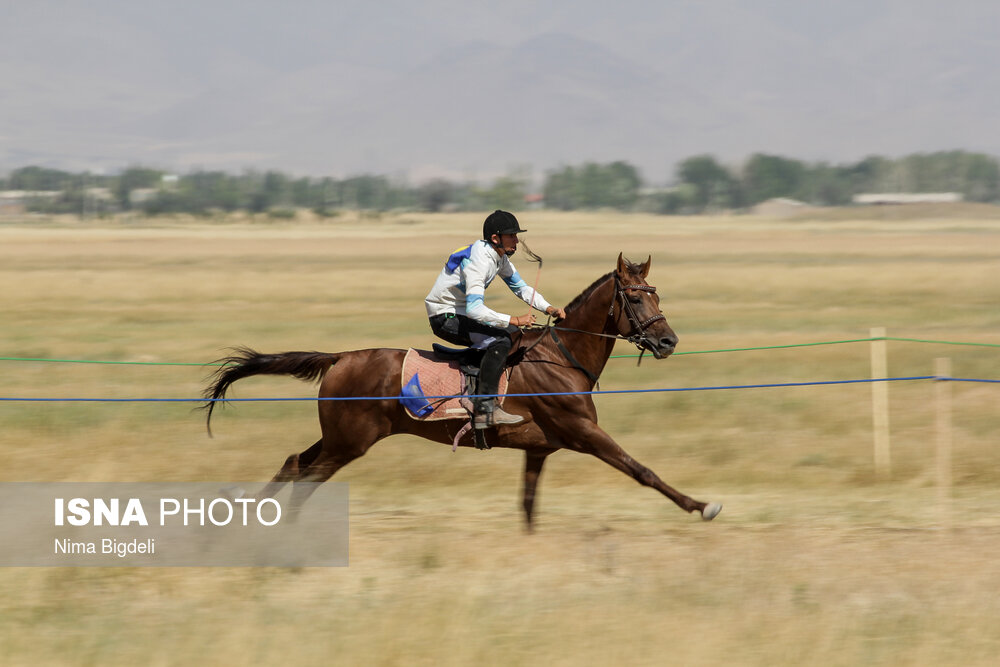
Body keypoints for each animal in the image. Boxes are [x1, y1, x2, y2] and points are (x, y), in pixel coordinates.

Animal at [201, 252, 720, 532]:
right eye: (633, 297)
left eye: (657, 294)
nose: (669, 341)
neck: (563, 358)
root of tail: (340, 357)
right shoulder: (584, 434)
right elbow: (642, 470)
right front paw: (701, 505)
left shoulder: (540, 449)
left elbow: (528, 505)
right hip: (350, 442)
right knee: (306, 476)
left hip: (337, 437)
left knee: (295, 463)